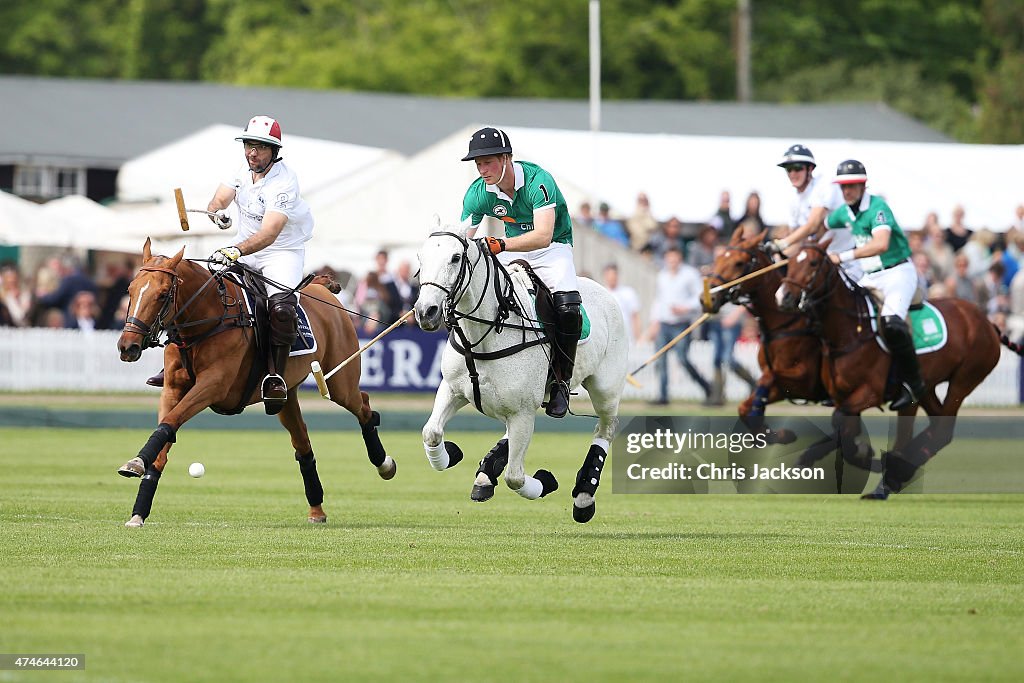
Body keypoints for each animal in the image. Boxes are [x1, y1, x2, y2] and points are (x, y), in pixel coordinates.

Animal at [115, 240, 395, 528]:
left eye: (162, 294)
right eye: (130, 289)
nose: (128, 347)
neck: (209, 317)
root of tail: (322, 289)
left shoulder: (214, 385)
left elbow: (170, 421)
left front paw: (135, 464)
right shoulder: (172, 389)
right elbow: (165, 432)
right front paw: (138, 506)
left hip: (340, 381)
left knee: (364, 405)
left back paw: (384, 464)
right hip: (286, 398)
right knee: (303, 445)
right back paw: (317, 509)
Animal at [413, 224, 622, 524]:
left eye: (455, 257)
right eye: (420, 257)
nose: (425, 312)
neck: (483, 335)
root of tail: (602, 289)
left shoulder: (521, 411)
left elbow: (515, 477)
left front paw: (546, 481)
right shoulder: (452, 390)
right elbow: (431, 432)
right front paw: (451, 454)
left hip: (606, 389)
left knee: (605, 428)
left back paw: (584, 496)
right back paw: (486, 474)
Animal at [774, 241, 1015, 497]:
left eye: (812, 263)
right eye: (789, 262)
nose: (783, 297)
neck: (850, 331)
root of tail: (988, 322)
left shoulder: (871, 392)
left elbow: (843, 424)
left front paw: (868, 457)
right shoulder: (842, 396)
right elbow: (845, 429)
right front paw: (818, 456)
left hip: (965, 379)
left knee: (942, 430)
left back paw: (893, 475)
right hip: (926, 387)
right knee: (934, 425)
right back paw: (898, 471)